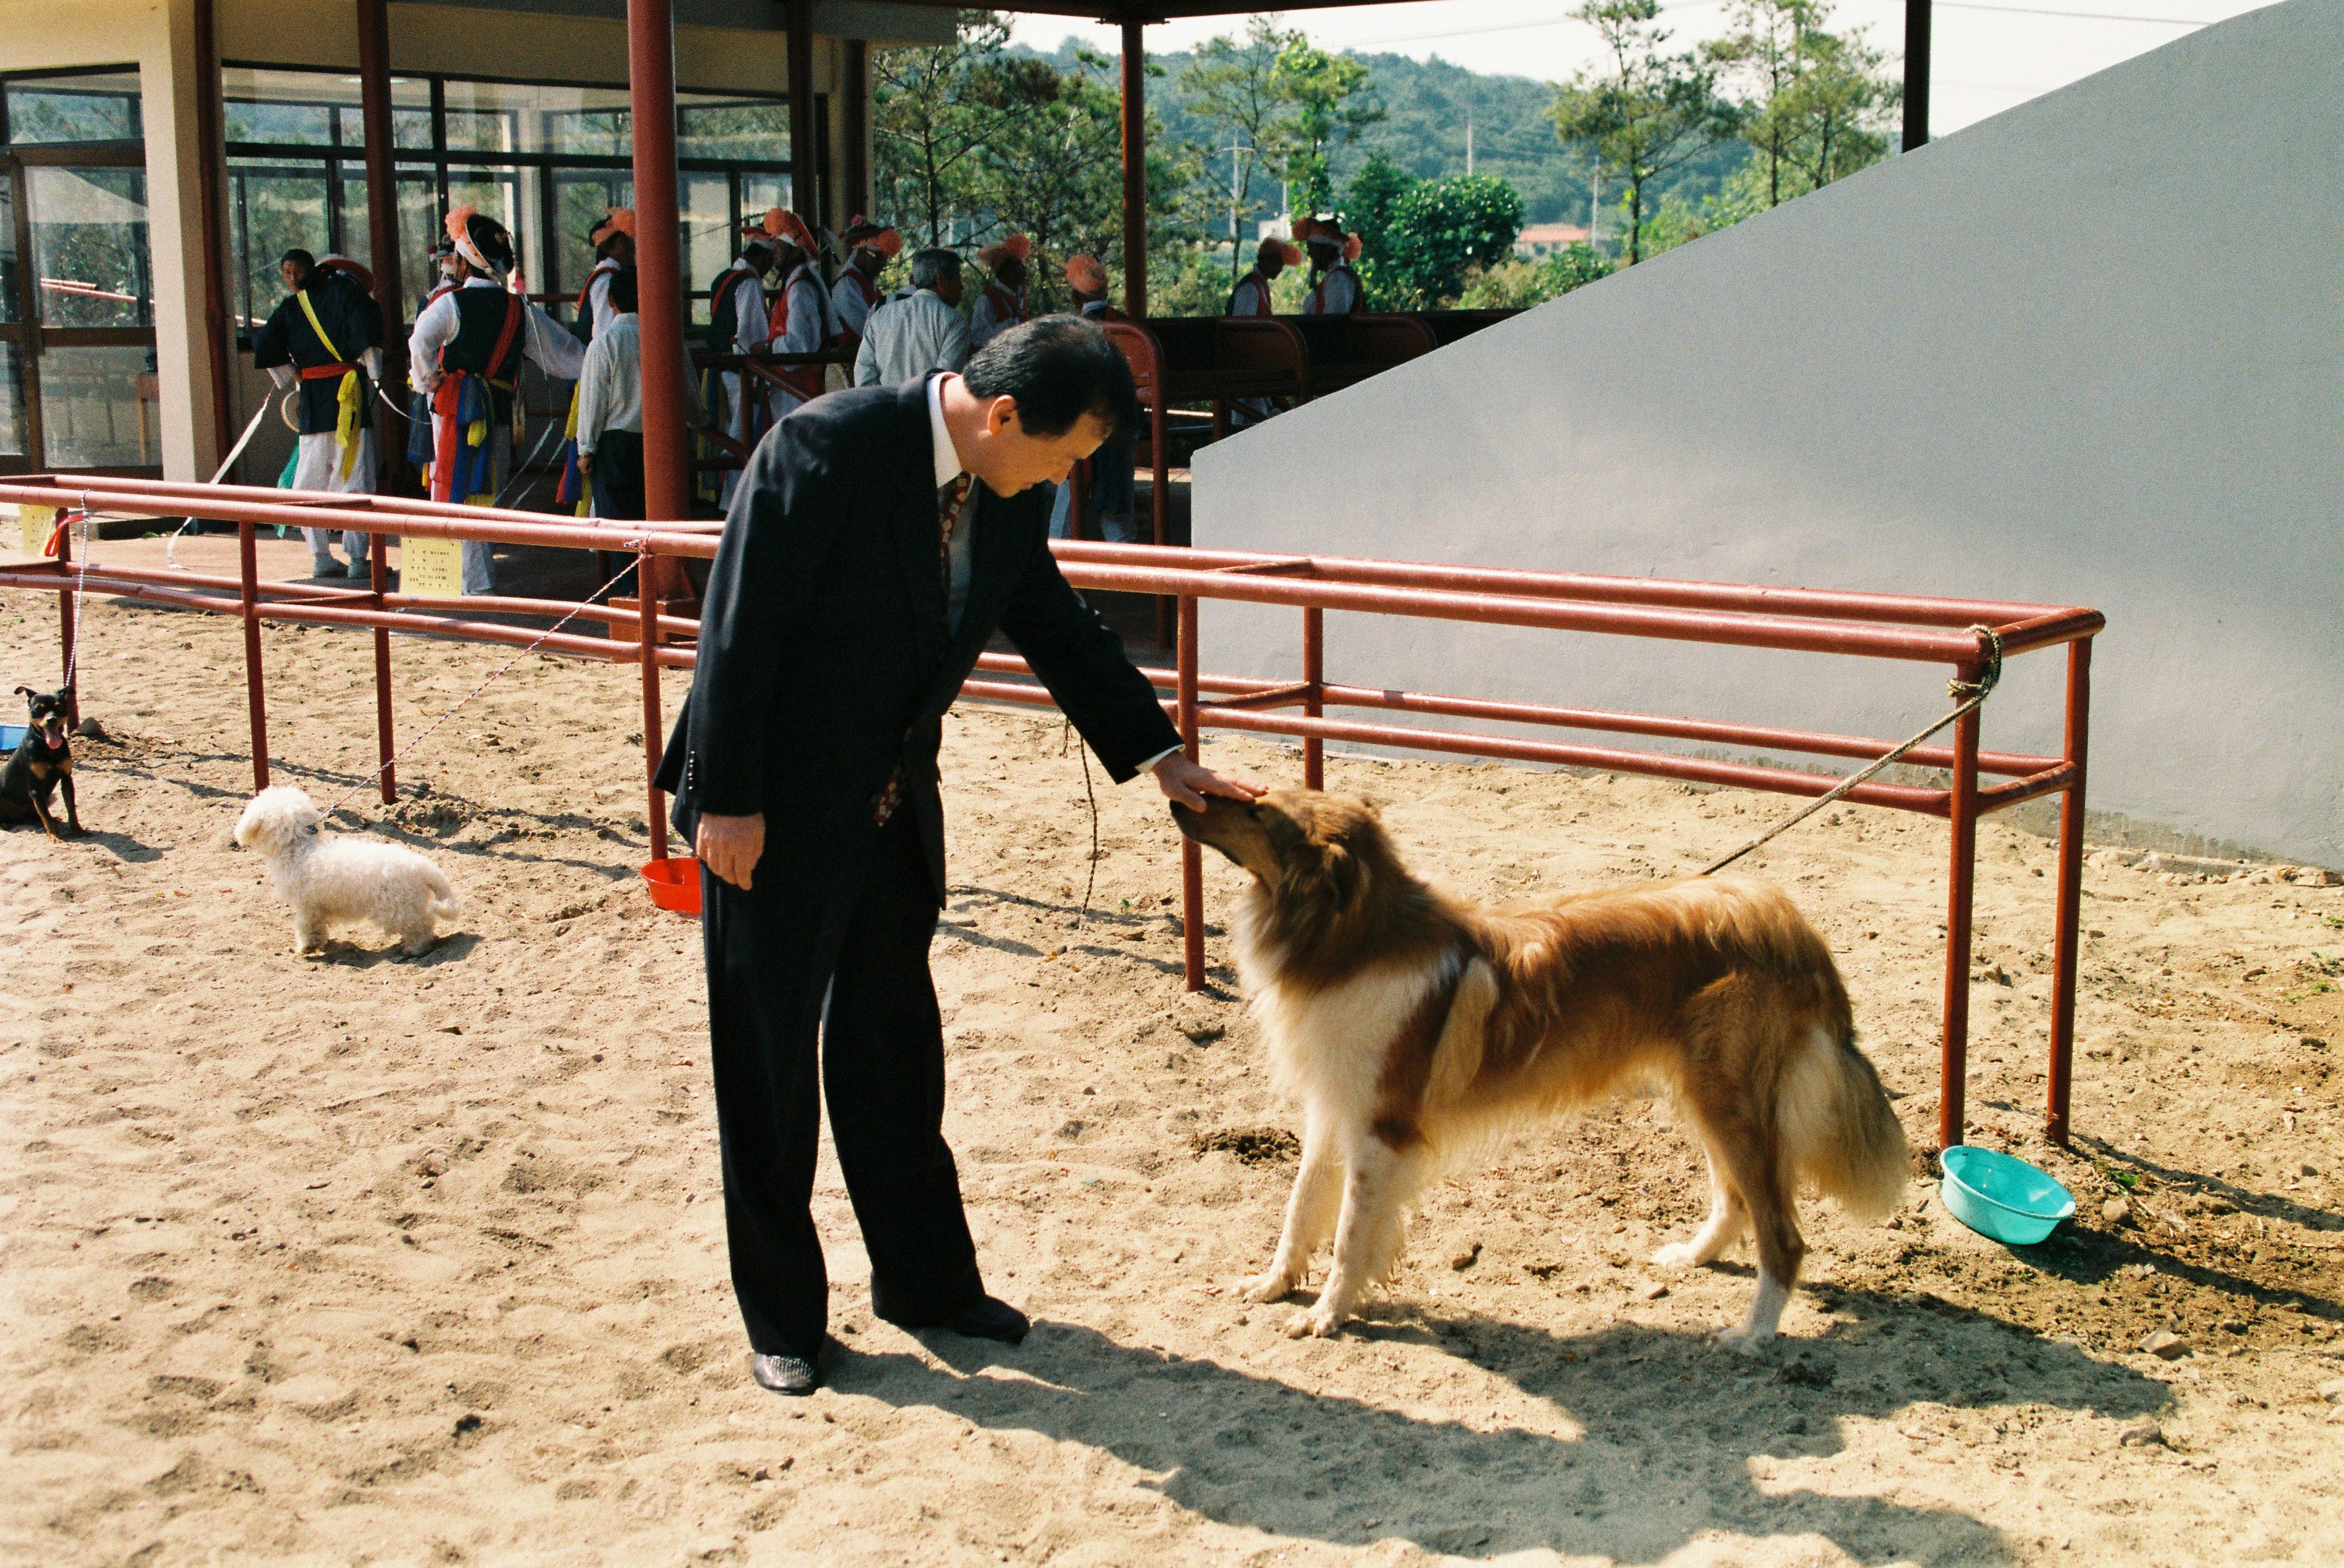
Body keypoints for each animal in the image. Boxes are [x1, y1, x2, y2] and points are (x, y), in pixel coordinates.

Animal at [1, 680, 83, 839]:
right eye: (39, 709)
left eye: (59, 707)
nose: (51, 720)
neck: (47, 747)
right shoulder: (36, 787)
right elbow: (45, 814)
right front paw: (55, 837)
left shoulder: (66, 778)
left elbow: (71, 808)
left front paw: (77, 830)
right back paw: (4, 823)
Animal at [235, 783, 459, 956]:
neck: (300, 847)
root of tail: (422, 866)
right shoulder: (318, 908)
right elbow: (318, 927)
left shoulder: (307, 906)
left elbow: (306, 926)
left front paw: (306, 947)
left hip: (397, 909)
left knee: (422, 925)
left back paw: (414, 948)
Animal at [1172, 787, 1903, 1341]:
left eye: (1256, 812)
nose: (1182, 798)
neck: (1352, 942)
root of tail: (1791, 926)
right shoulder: (1335, 1111)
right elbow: (1300, 1209)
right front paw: (1272, 1284)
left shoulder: (1381, 1131)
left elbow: (1351, 1234)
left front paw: (1326, 1315)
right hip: (1709, 1096)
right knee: (1736, 1199)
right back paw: (1690, 1258)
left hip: (1731, 1099)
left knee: (1782, 1233)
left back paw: (1751, 1335)